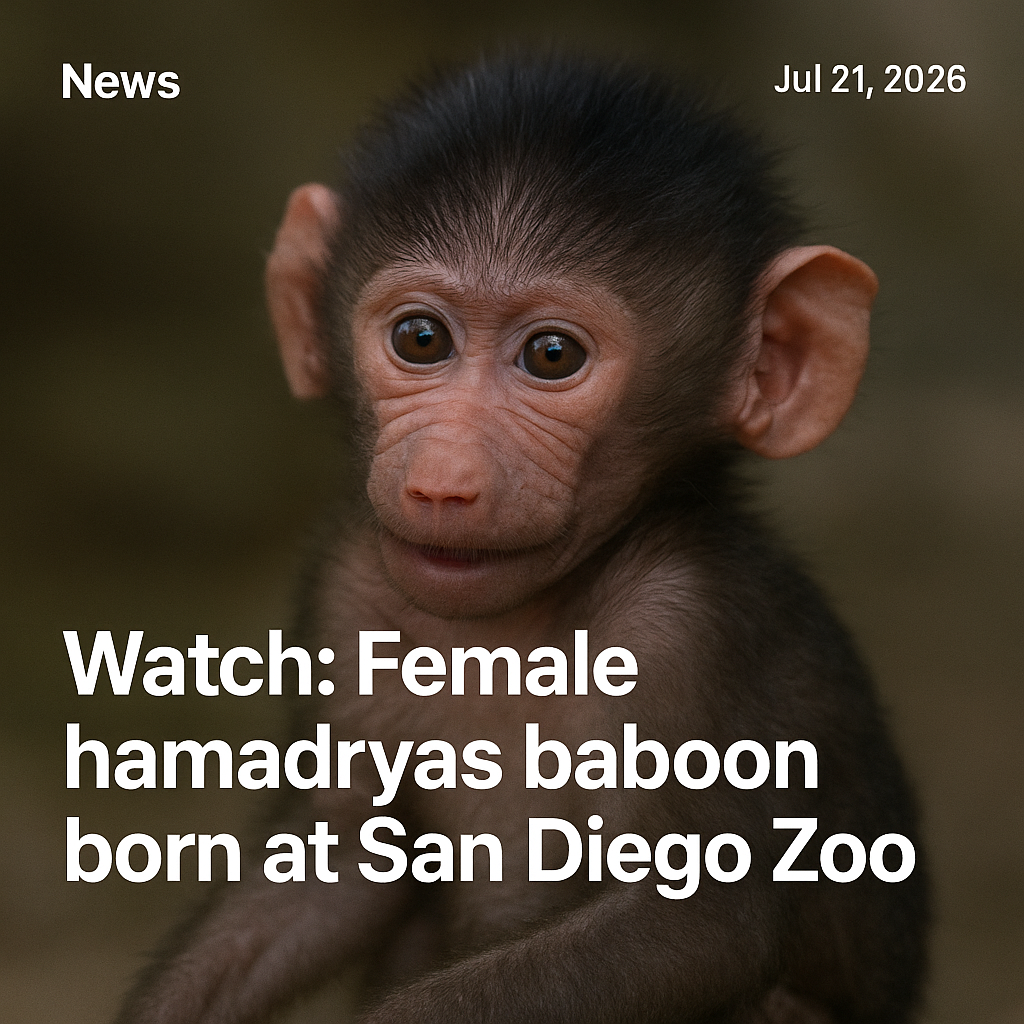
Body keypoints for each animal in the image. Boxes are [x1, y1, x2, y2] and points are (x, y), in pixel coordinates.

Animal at [114, 54, 927, 1024]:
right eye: (420, 337)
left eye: (551, 357)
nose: (445, 479)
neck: (510, 630)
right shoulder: (348, 594)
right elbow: (335, 859)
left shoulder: (690, 623)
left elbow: (698, 925)